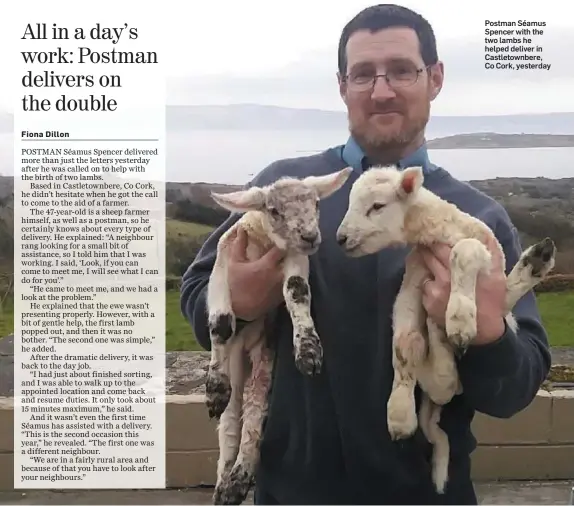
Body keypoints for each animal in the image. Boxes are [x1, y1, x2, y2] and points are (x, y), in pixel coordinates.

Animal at [205, 168, 354, 504]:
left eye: (316, 203)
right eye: (274, 211)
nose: (310, 237)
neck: (263, 242)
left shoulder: (295, 258)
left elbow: (296, 291)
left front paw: (308, 352)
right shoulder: (223, 263)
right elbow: (221, 323)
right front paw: (214, 385)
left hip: (264, 359)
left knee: (253, 416)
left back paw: (238, 479)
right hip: (237, 364)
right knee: (229, 422)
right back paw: (223, 483)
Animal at [338, 166, 560, 494]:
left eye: (377, 206)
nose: (340, 238)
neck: (440, 227)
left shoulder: (484, 255)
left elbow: (463, 253)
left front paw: (460, 317)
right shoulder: (412, 284)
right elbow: (405, 344)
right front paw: (400, 415)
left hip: (499, 310)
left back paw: (535, 262)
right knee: (441, 381)